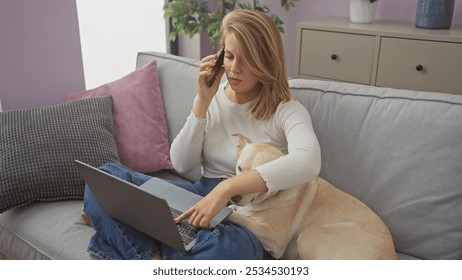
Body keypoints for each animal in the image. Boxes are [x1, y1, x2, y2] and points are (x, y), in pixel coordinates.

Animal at [229, 133, 396, 260]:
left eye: (260, 179)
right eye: (239, 168)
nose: (233, 197)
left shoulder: (274, 237)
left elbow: (240, 218)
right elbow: (237, 210)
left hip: (308, 235)